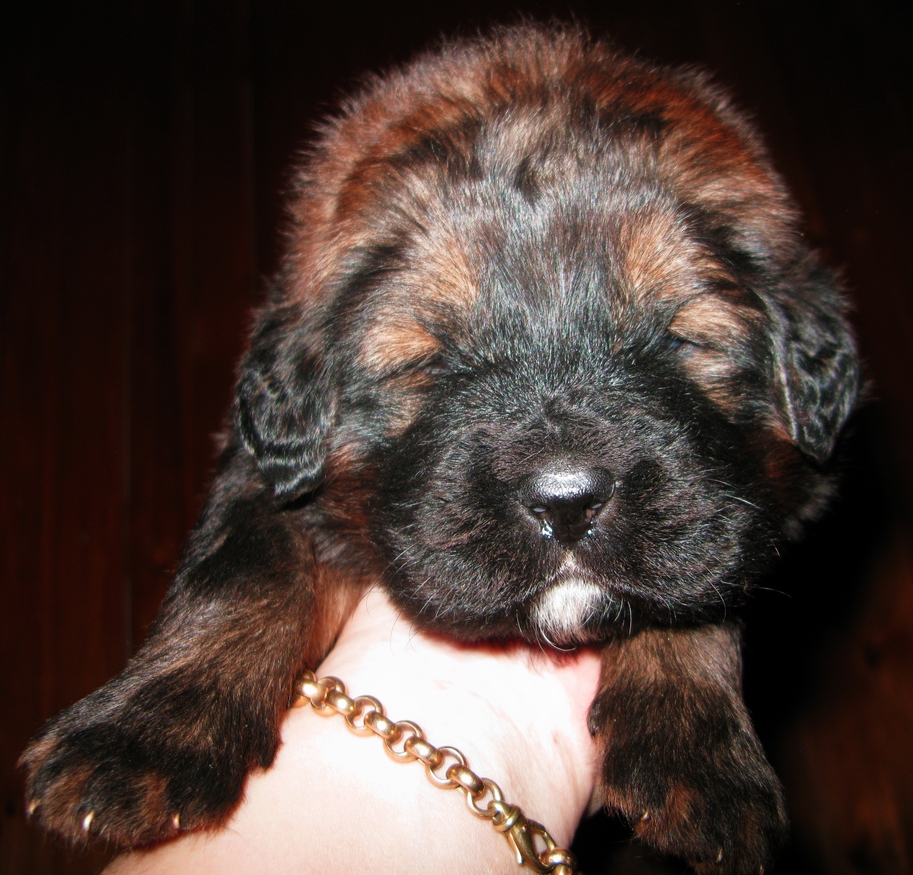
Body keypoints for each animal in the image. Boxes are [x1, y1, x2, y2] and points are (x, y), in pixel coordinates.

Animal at [22, 25, 859, 874]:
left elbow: (701, 575)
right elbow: (243, 566)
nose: (566, 500)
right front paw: (144, 734)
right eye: (425, 362)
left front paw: (696, 753)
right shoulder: (268, 463)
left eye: (683, 340)